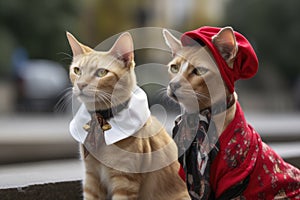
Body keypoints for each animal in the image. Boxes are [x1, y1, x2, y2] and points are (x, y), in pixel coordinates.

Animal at [67, 32, 190, 199]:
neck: (101, 119)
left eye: (102, 73)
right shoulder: (91, 179)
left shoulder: (124, 182)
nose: (80, 85)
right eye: (77, 71)